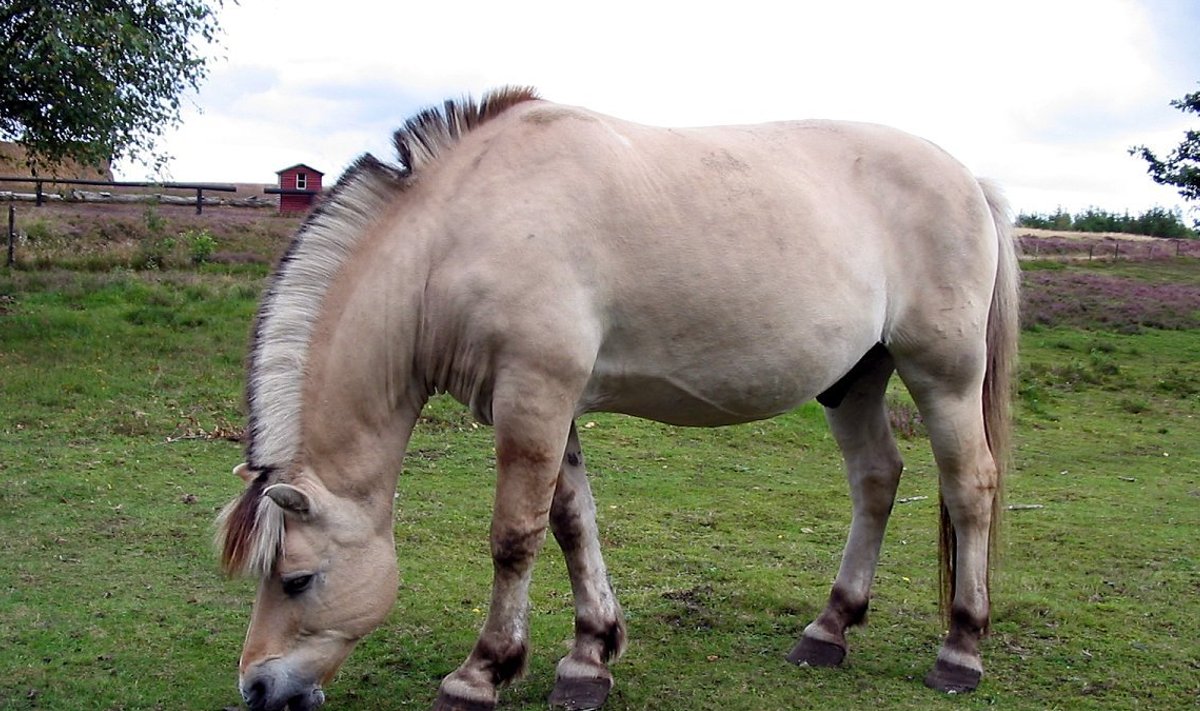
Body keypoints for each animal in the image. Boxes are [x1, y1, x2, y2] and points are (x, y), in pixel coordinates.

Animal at [218, 85, 1022, 706]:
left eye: (297, 579)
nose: (258, 688)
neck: (457, 234)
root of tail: (969, 179)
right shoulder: (551, 405)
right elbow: (572, 523)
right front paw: (588, 656)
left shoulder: (534, 397)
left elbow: (515, 536)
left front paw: (481, 672)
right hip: (853, 380)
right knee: (877, 480)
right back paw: (828, 628)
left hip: (943, 373)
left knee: (971, 486)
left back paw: (960, 649)